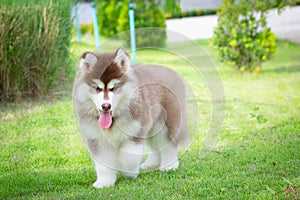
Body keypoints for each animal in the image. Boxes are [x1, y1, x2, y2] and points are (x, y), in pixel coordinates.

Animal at [72, 47, 189, 188]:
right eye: (97, 88)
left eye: (114, 87)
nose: (106, 106)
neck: (113, 121)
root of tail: (172, 71)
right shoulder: (98, 139)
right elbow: (103, 165)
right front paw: (104, 182)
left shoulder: (135, 132)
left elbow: (128, 157)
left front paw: (128, 172)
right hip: (152, 126)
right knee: (155, 147)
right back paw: (151, 164)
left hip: (167, 123)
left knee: (168, 145)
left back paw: (169, 165)